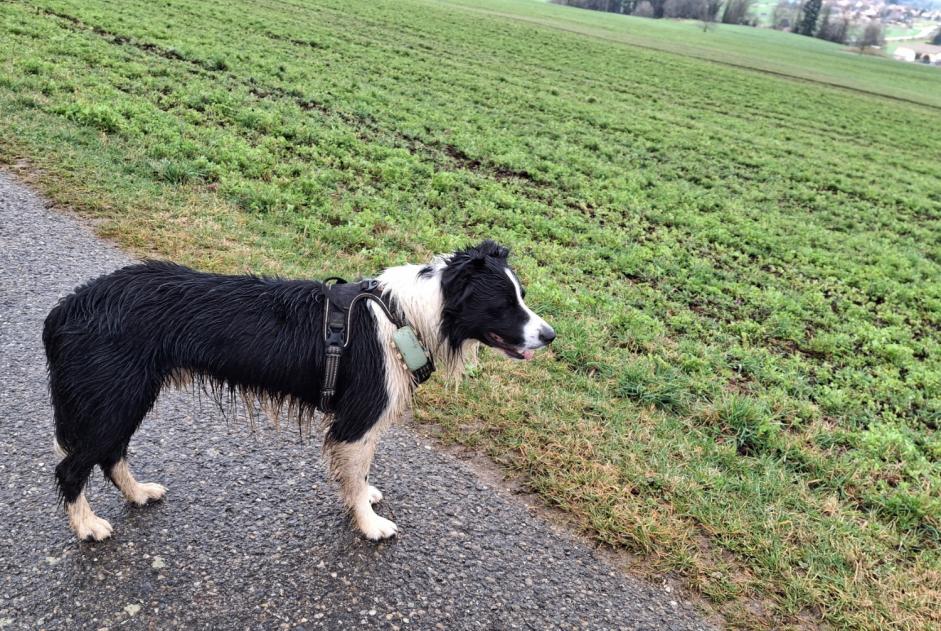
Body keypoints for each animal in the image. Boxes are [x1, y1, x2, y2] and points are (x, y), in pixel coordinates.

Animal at [44, 242, 556, 544]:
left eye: (522, 296)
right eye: (503, 304)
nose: (551, 336)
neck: (404, 316)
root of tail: (66, 307)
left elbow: (359, 472)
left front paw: (365, 496)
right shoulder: (358, 416)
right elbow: (354, 472)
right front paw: (369, 525)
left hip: (125, 394)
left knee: (111, 453)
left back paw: (138, 494)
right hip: (113, 395)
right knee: (73, 466)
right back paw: (87, 526)